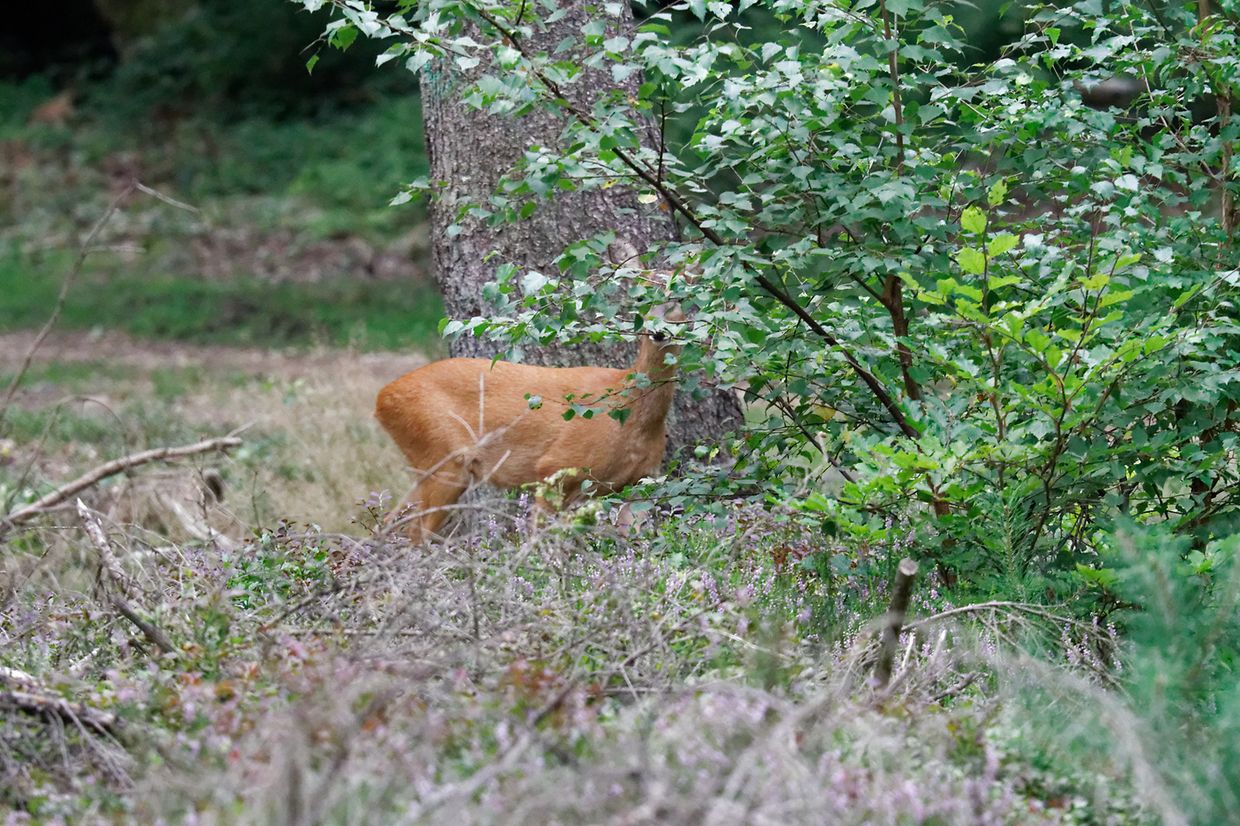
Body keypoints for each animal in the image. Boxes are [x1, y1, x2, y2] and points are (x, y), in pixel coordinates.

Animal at [374, 278, 684, 542]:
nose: (658, 332)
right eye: (642, 297)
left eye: (680, 297)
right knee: (416, 533)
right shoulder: (555, 466)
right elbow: (540, 541)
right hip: (443, 456)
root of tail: (381, 399)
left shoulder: (641, 481)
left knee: (390, 523)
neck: (630, 413)